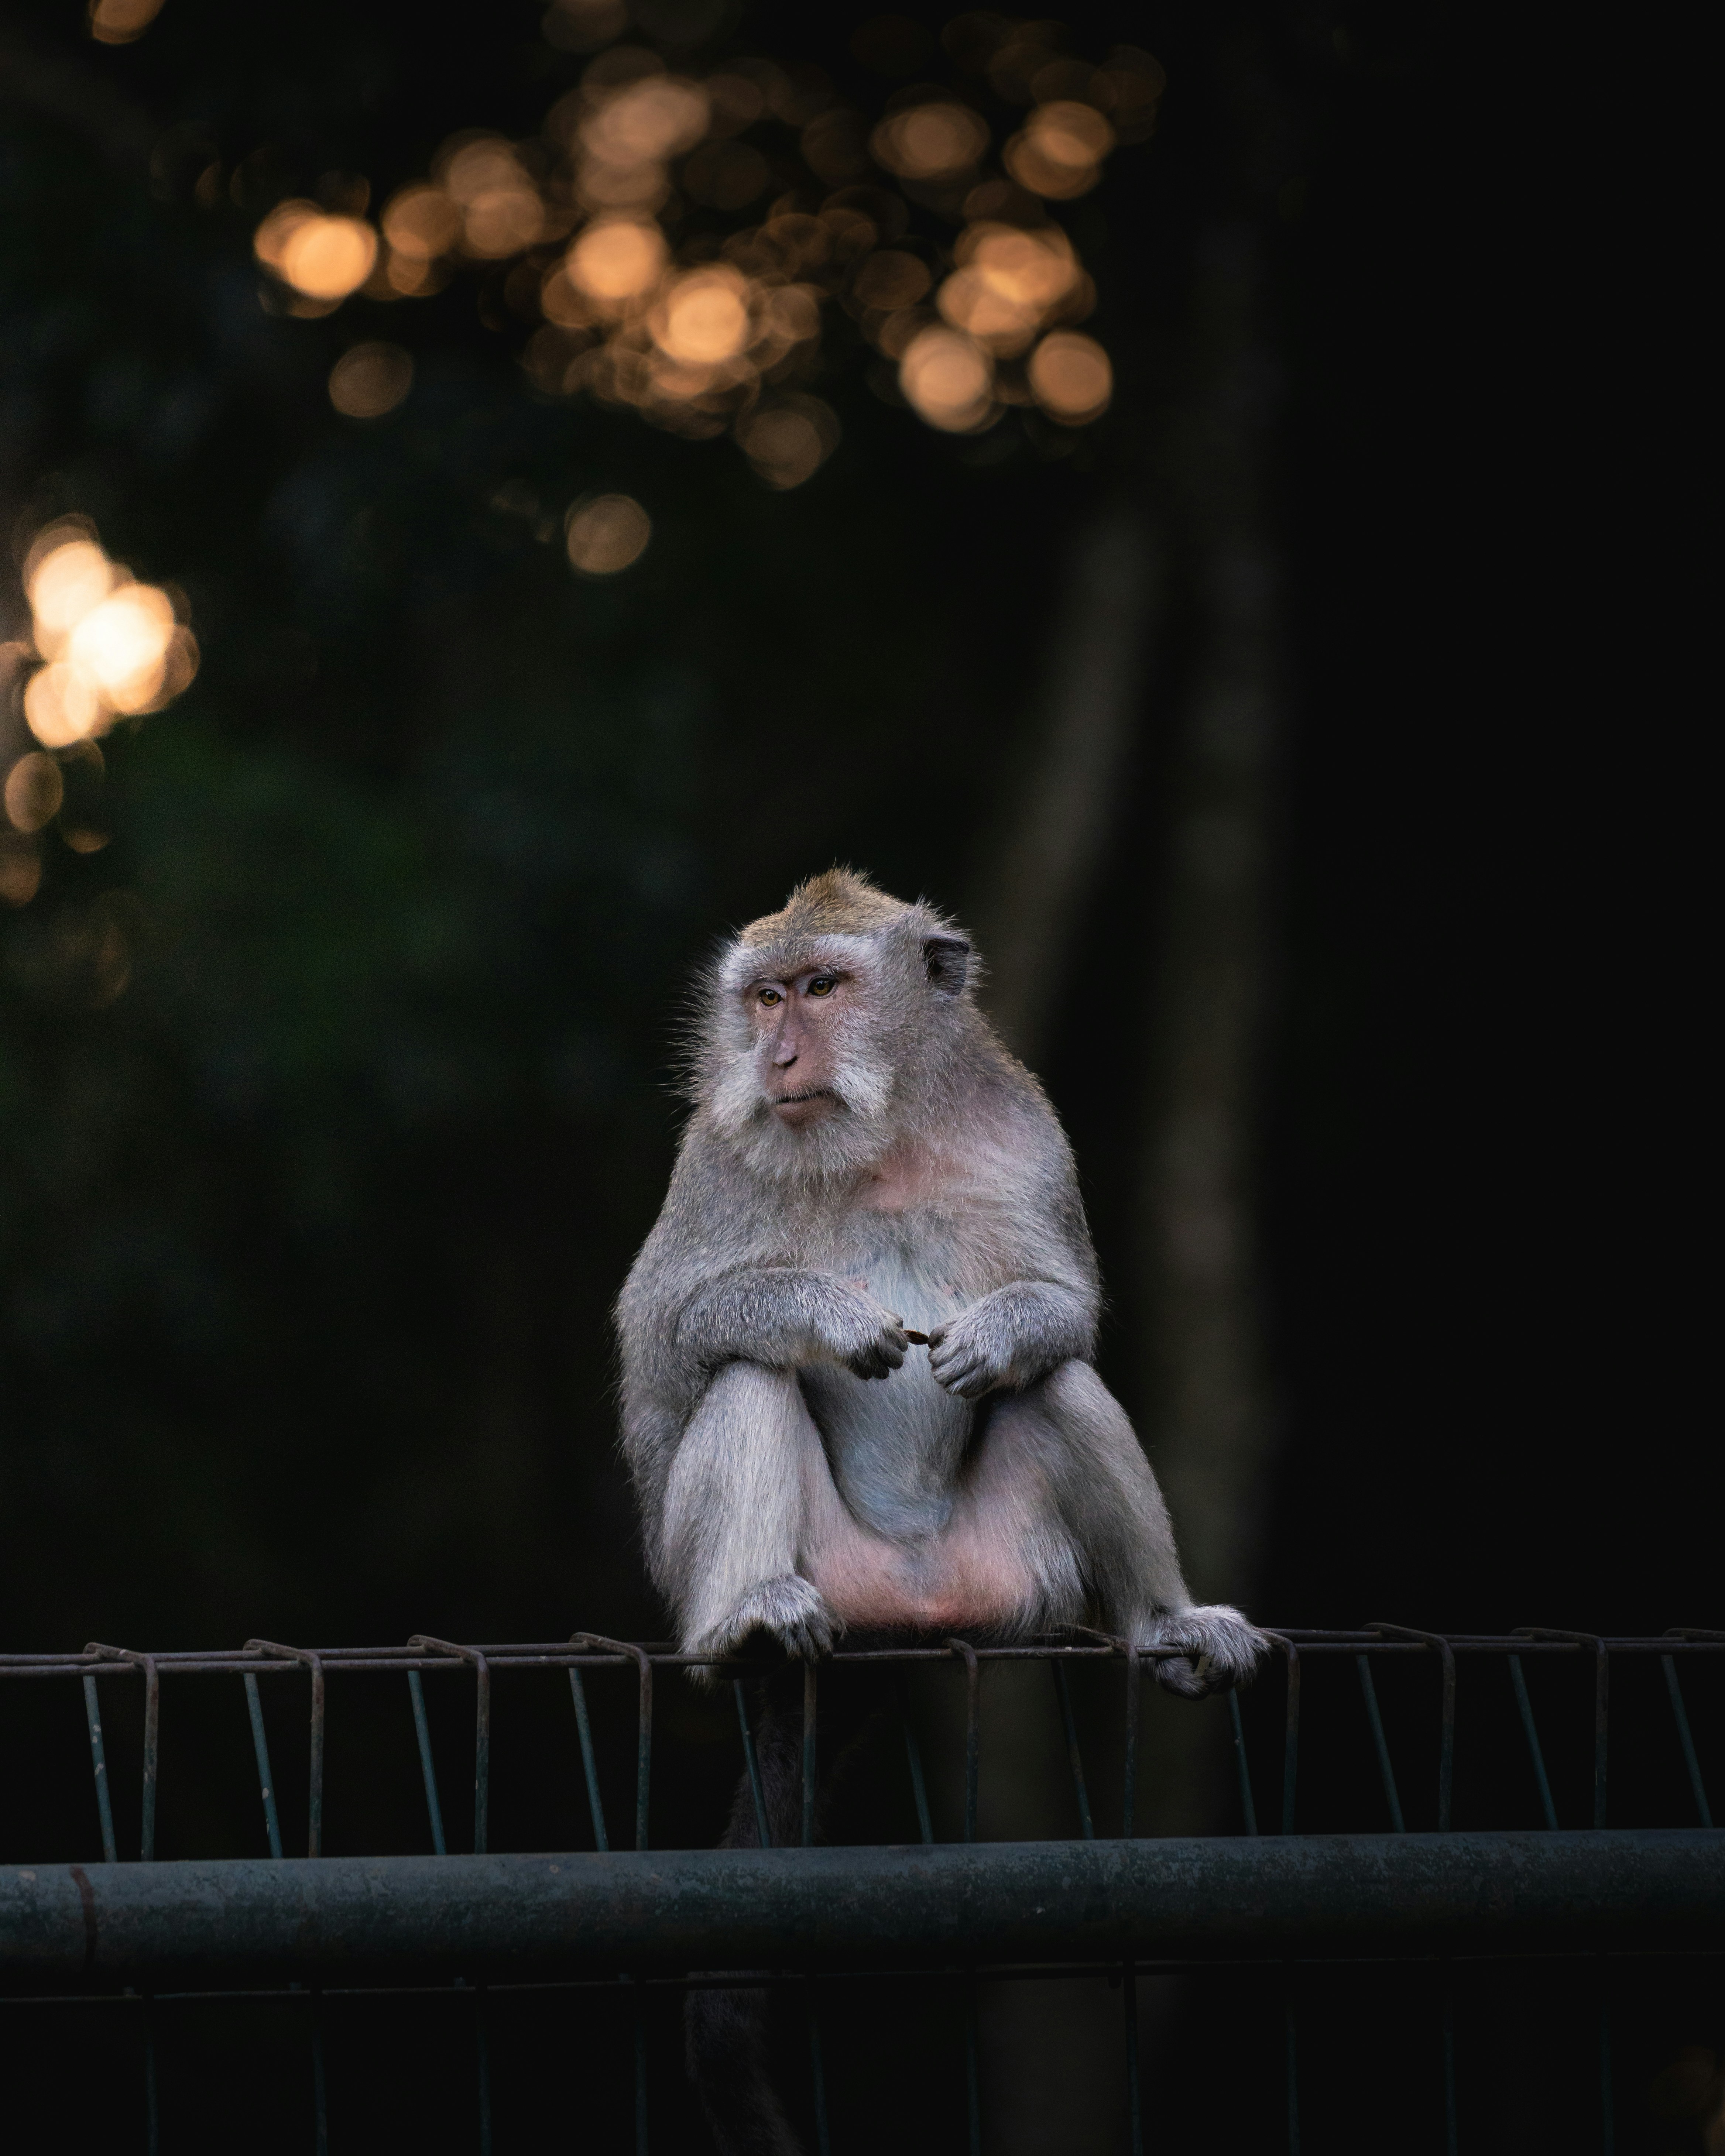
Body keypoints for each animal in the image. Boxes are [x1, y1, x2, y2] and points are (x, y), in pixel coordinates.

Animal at [616, 870, 1267, 2154]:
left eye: (824, 986)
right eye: (764, 996)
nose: (779, 1055)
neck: (885, 1139)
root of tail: (906, 1610)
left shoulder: (1031, 1137)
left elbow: (1065, 1309)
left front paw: (1009, 1327)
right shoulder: (717, 1156)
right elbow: (667, 1336)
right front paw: (812, 1308)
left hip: (1014, 1578)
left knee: (1057, 1386)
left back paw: (1164, 1622)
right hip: (802, 1571)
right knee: (747, 1377)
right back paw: (742, 1625)